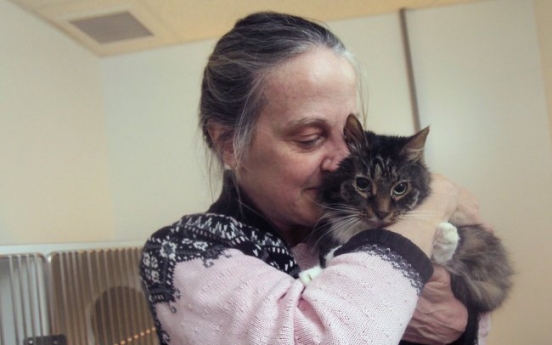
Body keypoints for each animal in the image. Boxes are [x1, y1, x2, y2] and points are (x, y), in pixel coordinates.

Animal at [302, 115, 512, 342]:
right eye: (363, 184)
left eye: (400, 188)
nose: (382, 212)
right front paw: (312, 273)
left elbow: (442, 256)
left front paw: (445, 235)